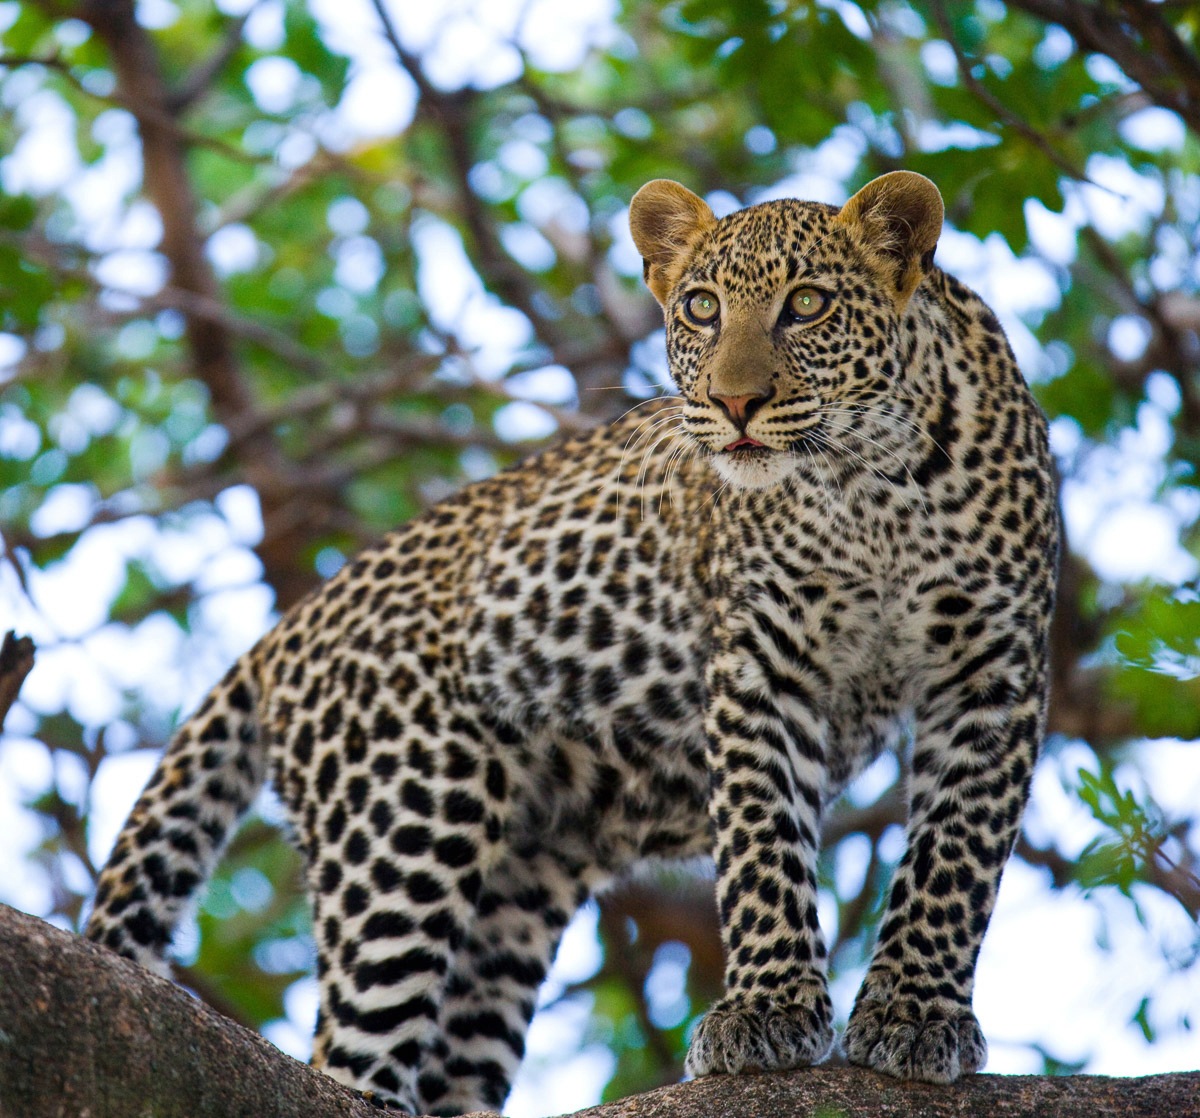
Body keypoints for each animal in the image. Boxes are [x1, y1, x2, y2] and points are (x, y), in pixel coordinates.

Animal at [85, 170, 1057, 1114]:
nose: (734, 402)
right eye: (701, 307)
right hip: (405, 825)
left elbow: (956, 857)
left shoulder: (994, 670)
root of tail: (284, 634)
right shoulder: (761, 665)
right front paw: (766, 1012)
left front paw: (915, 1015)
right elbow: (764, 844)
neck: (872, 487)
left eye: (808, 304)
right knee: (348, 1050)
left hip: (515, 896)